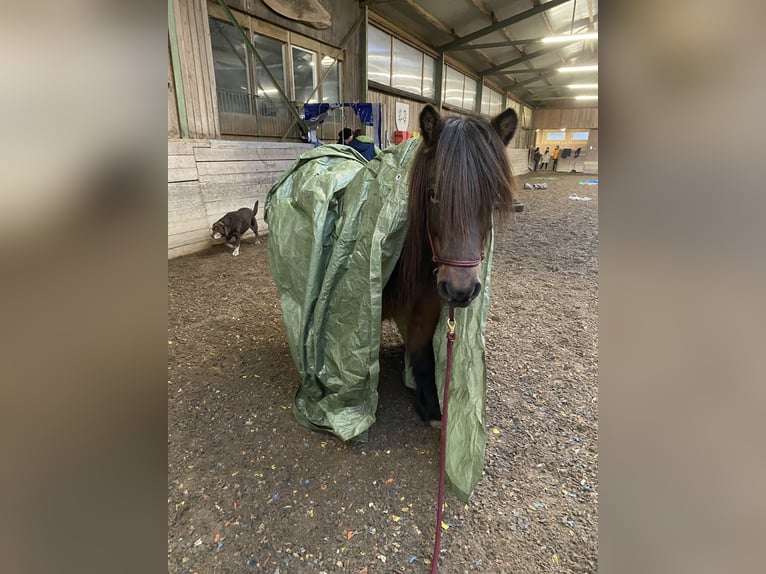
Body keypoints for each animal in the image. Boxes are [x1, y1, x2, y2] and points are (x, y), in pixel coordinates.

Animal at [381, 104, 517, 425]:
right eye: (433, 194)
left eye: (492, 199)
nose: (460, 289)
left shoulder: (427, 307)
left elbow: (423, 357)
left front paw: (430, 407)